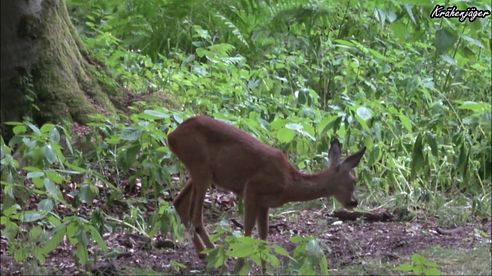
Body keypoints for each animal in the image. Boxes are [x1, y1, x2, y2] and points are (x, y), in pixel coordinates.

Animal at [169, 115, 366, 260]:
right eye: (354, 180)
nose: (354, 202)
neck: (289, 183)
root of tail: (171, 136)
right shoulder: (252, 188)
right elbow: (248, 231)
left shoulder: (265, 203)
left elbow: (264, 236)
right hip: (201, 167)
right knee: (196, 218)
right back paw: (216, 254)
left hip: (199, 172)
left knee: (179, 203)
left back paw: (203, 253)